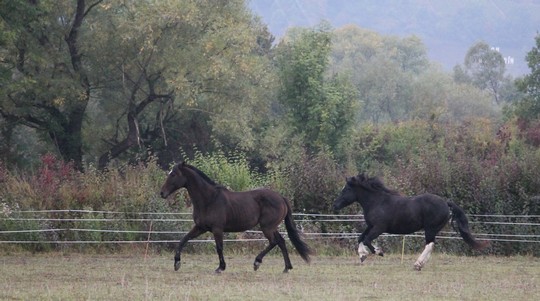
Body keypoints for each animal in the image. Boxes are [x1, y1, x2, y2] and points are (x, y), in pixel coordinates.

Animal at [159, 162, 312, 272]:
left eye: (173, 174)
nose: (162, 193)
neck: (209, 199)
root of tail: (281, 198)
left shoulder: (217, 229)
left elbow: (219, 247)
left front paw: (221, 268)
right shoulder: (200, 227)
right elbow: (183, 240)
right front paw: (177, 263)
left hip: (267, 227)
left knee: (274, 242)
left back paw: (257, 262)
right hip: (271, 227)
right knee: (281, 242)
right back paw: (286, 268)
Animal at [334, 173, 490, 270]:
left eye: (346, 189)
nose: (335, 205)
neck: (377, 202)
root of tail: (446, 203)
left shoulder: (379, 227)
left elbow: (367, 240)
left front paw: (379, 252)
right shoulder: (371, 226)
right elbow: (360, 238)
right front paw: (362, 255)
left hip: (430, 229)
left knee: (429, 245)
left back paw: (417, 265)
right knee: (431, 245)